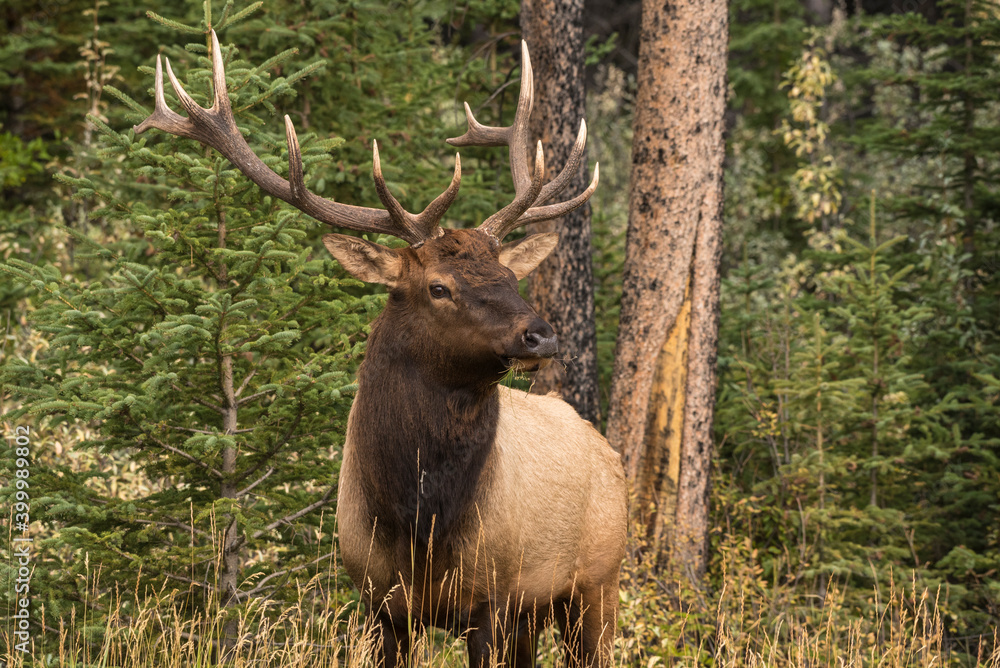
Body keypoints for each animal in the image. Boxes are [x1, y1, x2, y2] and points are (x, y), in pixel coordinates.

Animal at [135, 31, 628, 668]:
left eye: (510, 278)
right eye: (438, 287)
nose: (541, 335)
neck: (418, 525)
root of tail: (603, 445)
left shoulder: (492, 599)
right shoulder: (377, 600)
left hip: (596, 582)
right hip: (540, 609)